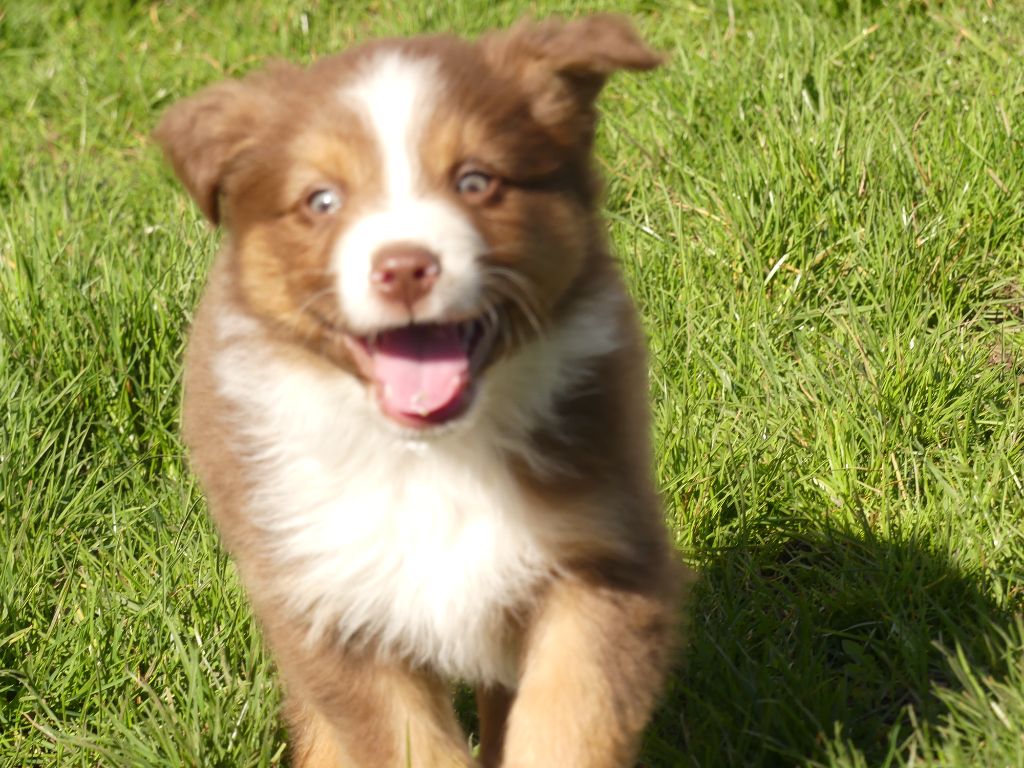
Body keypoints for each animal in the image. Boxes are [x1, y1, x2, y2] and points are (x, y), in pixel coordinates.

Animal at [156, 14, 691, 768]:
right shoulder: (331, 604)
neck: (433, 456)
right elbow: (402, 743)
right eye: (322, 200)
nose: (405, 267)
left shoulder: (605, 553)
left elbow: (569, 720)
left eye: (475, 181)